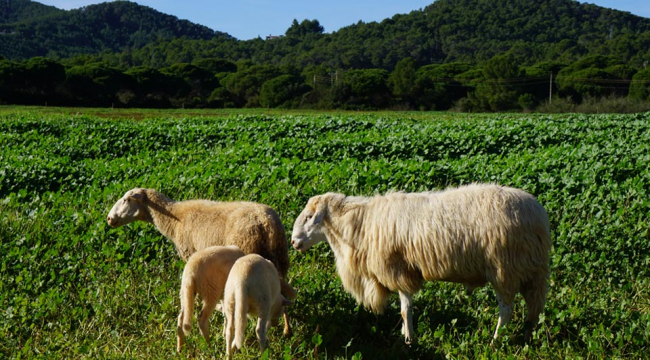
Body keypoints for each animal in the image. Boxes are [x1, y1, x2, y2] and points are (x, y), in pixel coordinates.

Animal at [107, 188, 294, 334]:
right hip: (279, 258)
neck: (174, 219)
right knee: (282, 292)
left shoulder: (192, 254)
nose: (109, 219)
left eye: (126, 199)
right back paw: (286, 329)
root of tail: (266, 223)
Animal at [288, 184, 548, 344]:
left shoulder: (398, 270)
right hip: (530, 271)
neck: (361, 225)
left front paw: (408, 339)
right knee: (532, 308)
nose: (293, 242)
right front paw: (406, 334)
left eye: (310, 217)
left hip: (504, 269)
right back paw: (526, 337)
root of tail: (538, 213)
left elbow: (405, 309)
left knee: (506, 310)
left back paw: (495, 341)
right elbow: (405, 309)